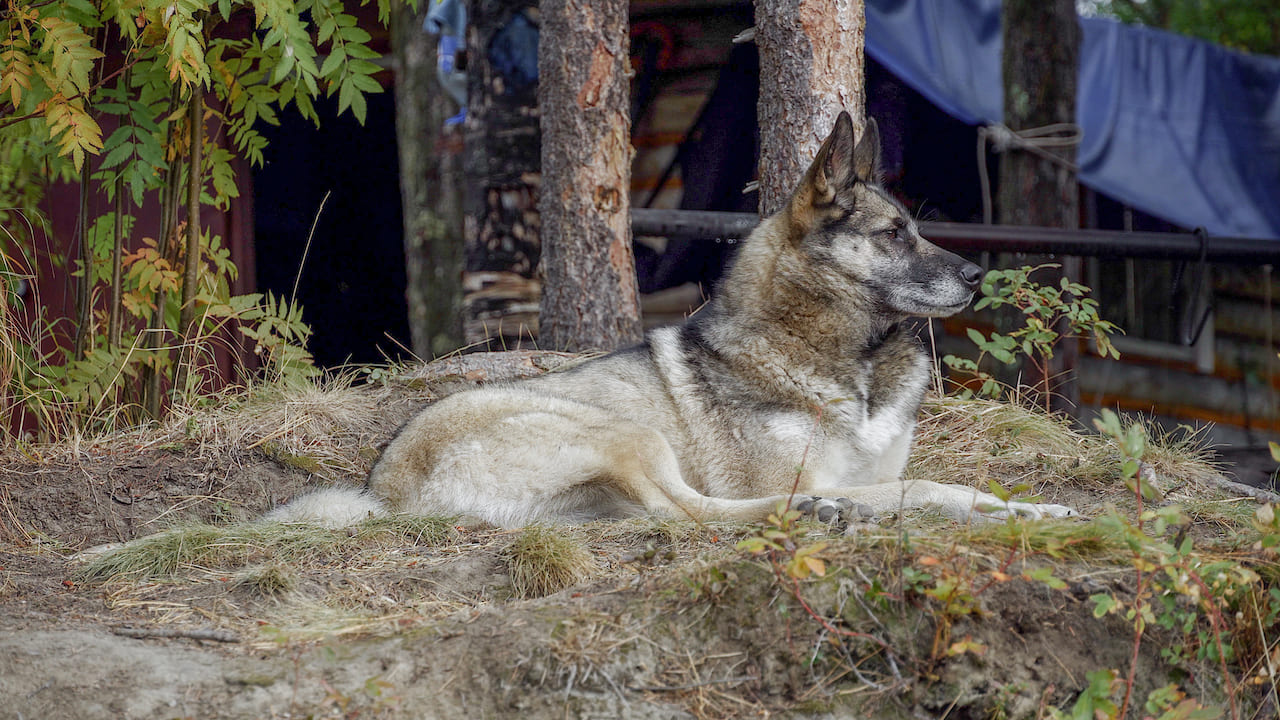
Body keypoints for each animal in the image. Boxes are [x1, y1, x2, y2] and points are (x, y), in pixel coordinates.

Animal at [272, 110, 1080, 527]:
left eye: (917, 228)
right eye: (893, 234)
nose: (977, 278)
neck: (850, 361)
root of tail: (381, 491)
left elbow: (951, 485)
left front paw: (1031, 507)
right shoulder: (807, 472)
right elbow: (931, 488)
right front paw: (1024, 509)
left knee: (668, 513)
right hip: (627, 432)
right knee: (696, 512)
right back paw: (817, 511)